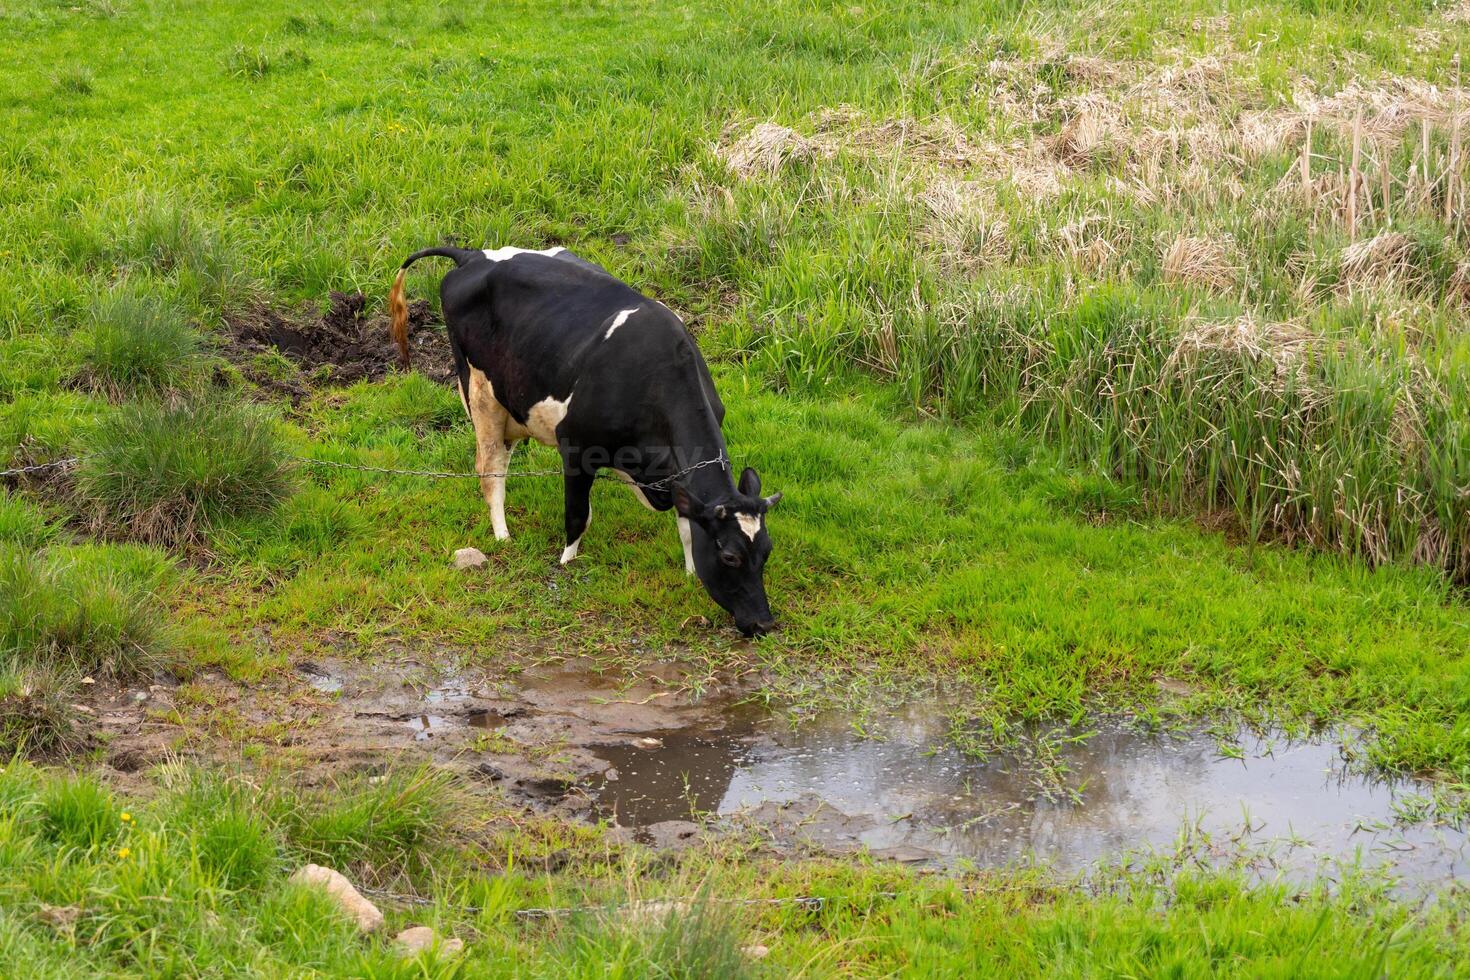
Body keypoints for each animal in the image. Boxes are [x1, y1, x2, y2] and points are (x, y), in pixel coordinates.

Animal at [388, 246, 782, 637]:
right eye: (729, 556)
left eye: (767, 550)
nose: (763, 623)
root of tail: (471, 254)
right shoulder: (576, 449)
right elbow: (577, 514)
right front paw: (566, 563)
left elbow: (687, 524)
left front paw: (688, 571)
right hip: (481, 393)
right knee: (491, 470)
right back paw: (502, 536)